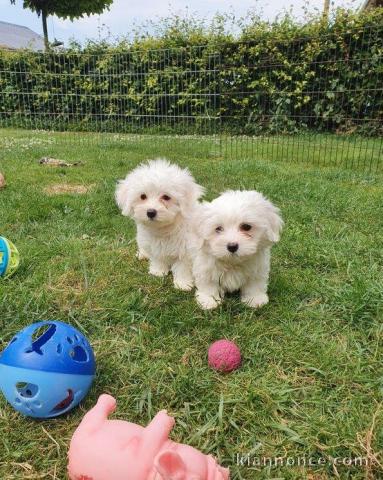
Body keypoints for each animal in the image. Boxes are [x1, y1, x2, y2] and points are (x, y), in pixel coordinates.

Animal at [115, 159, 204, 290]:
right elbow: (157, 258)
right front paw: (158, 271)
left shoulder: (186, 250)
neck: (163, 228)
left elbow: (183, 266)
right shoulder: (153, 246)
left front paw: (183, 283)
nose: (151, 212)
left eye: (166, 197)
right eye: (142, 196)